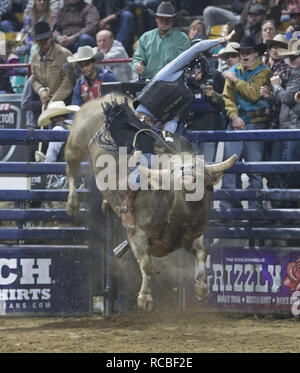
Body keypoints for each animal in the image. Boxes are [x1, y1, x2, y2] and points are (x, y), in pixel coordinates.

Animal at [65, 93, 237, 310]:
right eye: (175, 171)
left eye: (202, 171)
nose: (189, 174)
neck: (175, 215)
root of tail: (110, 98)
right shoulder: (135, 234)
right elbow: (147, 264)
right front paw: (145, 298)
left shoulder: (193, 235)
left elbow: (202, 253)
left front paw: (201, 287)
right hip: (76, 141)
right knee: (71, 168)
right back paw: (72, 203)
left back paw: (104, 204)